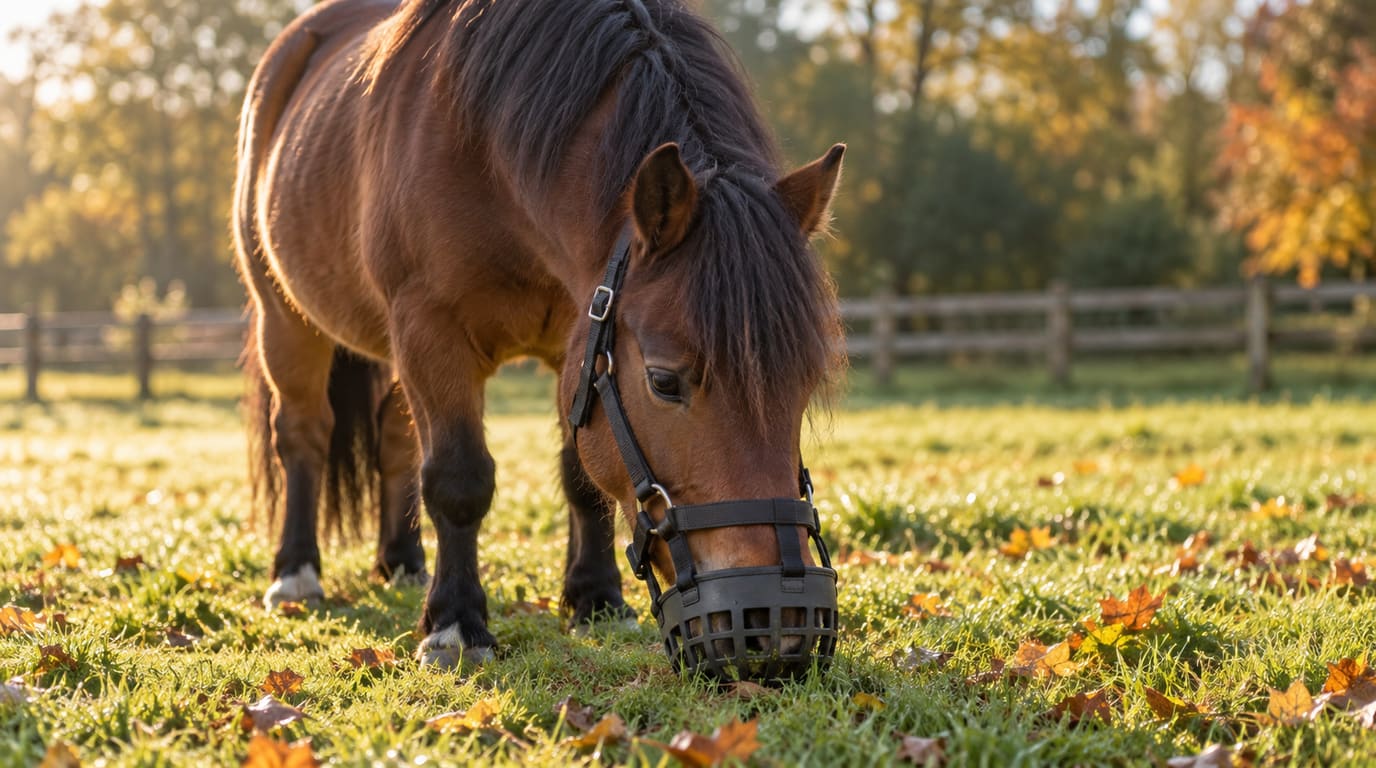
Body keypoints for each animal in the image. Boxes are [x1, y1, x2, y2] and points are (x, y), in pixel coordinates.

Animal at [234, 0, 846, 679]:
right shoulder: (430, 329)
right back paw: (296, 573)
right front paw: (455, 625)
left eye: (805, 383)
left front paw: (595, 599)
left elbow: (580, 477)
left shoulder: (574, 342)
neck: (488, 159)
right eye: (664, 381)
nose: (780, 624)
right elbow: (458, 479)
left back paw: (403, 564)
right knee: (304, 436)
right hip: (287, 322)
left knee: (394, 445)